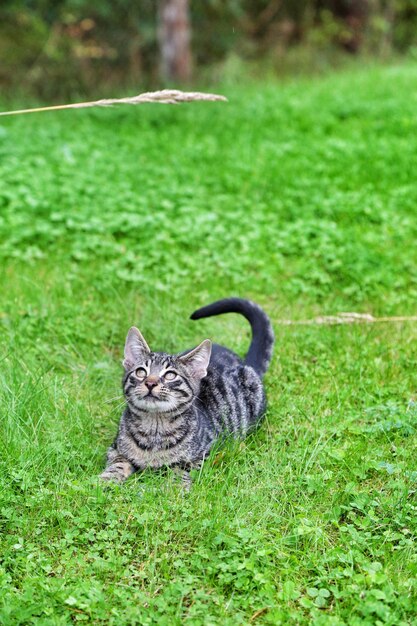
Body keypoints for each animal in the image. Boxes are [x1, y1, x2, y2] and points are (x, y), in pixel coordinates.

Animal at [100, 296, 272, 482]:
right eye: (141, 372)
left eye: (170, 375)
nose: (150, 383)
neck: (154, 430)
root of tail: (246, 364)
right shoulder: (115, 448)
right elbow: (118, 462)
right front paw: (106, 480)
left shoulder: (206, 453)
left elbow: (180, 467)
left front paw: (176, 485)